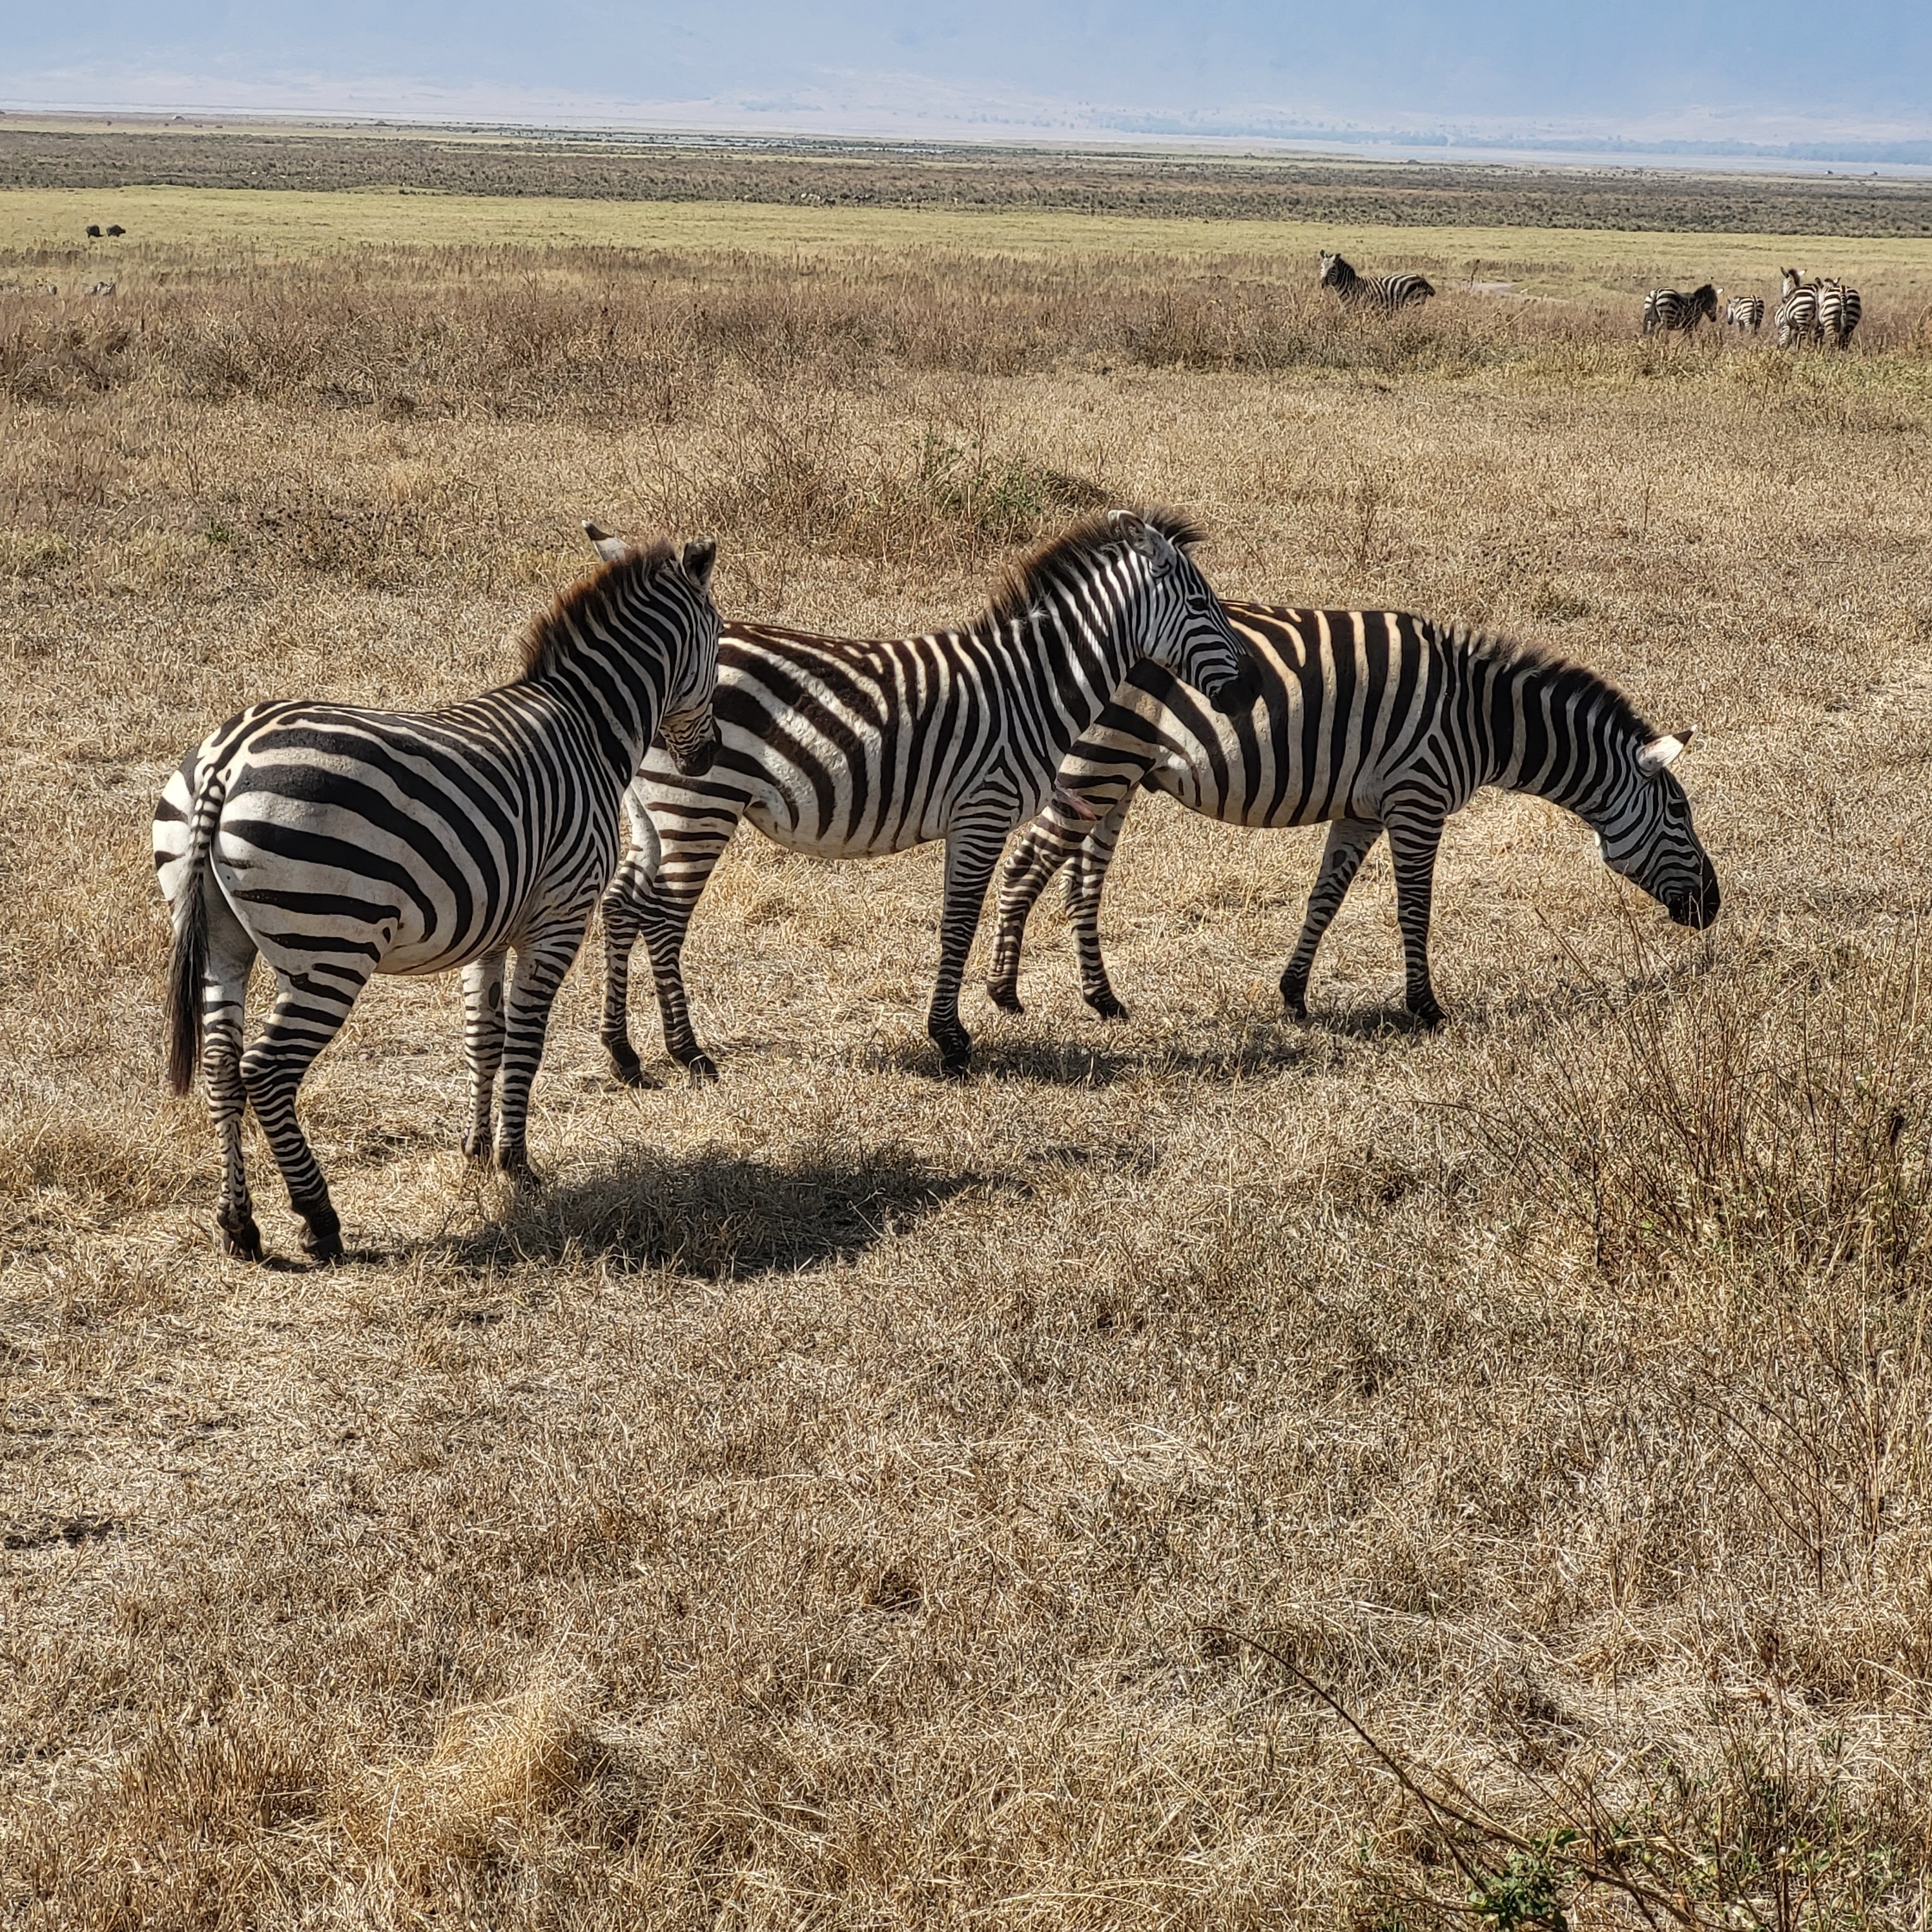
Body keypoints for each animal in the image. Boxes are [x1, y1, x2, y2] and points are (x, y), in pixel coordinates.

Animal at [153, 532, 723, 1265]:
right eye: (718, 642)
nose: (705, 758)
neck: (590, 728)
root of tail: (226, 759)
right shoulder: (559, 916)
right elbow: (527, 1040)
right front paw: (516, 1165)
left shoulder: (494, 923)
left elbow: (485, 1036)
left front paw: (476, 1151)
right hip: (331, 945)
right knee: (268, 1070)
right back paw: (319, 1220)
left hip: (220, 935)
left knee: (223, 1065)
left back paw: (239, 1226)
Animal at [593, 508, 1257, 1084]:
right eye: (1200, 605)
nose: (1248, 691)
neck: (1030, 687)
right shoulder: (983, 811)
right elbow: (959, 923)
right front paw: (952, 1042)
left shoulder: (974, 818)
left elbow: (954, 921)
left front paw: (951, 1032)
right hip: (697, 803)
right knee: (663, 918)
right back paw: (688, 1054)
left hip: (655, 810)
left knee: (623, 905)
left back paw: (624, 1054)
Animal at [984, 605, 1720, 1030]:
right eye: (1679, 814)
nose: (1714, 907)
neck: (1481, 718)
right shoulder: (1417, 798)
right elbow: (1414, 907)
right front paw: (1425, 1008)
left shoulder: (1362, 811)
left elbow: (1325, 899)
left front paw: (1293, 994)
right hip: (1101, 759)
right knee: (1027, 863)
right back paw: (1003, 993)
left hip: (1122, 773)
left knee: (1082, 880)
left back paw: (1103, 1000)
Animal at [1318, 251, 1435, 313]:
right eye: (1322, 267)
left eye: (1333, 269)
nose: (1322, 283)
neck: (1350, 286)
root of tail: (1421, 279)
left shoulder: (1355, 308)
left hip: (1412, 303)